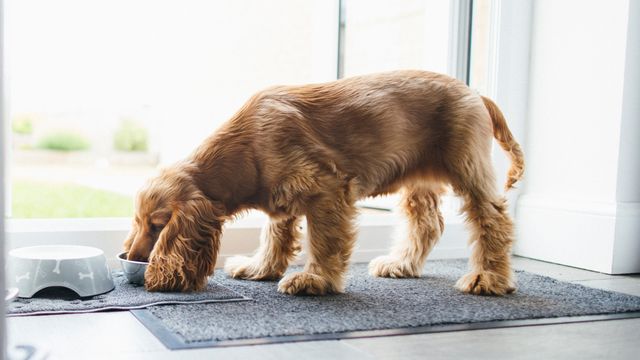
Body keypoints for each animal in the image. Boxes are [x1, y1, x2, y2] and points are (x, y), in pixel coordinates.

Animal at [122, 69, 524, 296]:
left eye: (158, 226)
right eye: (137, 223)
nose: (132, 258)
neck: (247, 145)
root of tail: (475, 92)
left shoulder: (328, 189)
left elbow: (325, 242)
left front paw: (315, 281)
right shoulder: (282, 197)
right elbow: (275, 235)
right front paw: (260, 268)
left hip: (468, 167)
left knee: (494, 220)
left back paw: (488, 278)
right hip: (419, 181)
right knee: (427, 223)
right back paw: (401, 264)